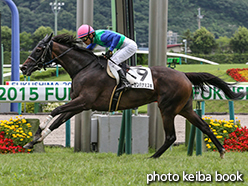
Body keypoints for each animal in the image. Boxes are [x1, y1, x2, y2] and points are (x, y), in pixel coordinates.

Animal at [20, 33, 244, 158]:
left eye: (39, 48)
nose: (23, 67)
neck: (84, 68)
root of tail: (183, 74)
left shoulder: (83, 101)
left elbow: (56, 110)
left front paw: (36, 134)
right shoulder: (79, 104)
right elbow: (58, 121)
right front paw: (34, 141)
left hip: (168, 108)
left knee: (171, 136)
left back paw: (152, 157)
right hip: (185, 108)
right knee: (204, 126)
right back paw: (221, 151)